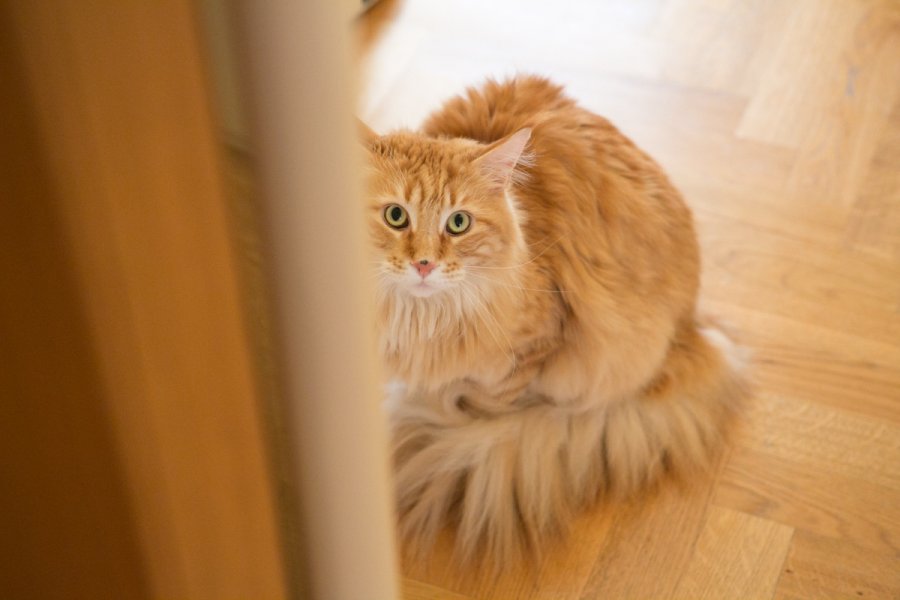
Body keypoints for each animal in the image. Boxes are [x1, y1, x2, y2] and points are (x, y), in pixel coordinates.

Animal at [358, 75, 744, 564]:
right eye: (396, 216)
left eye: (459, 223)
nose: (423, 264)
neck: (420, 322)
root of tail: (692, 330)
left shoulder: (531, 352)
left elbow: (488, 405)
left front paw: (457, 422)